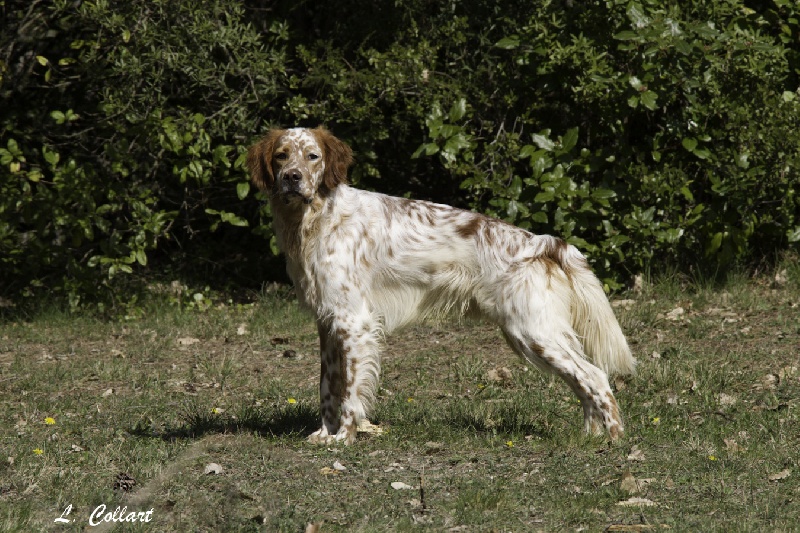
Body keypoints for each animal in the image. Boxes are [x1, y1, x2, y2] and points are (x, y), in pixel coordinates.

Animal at [247, 127, 636, 442]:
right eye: (282, 155)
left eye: (312, 156)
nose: (292, 178)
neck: (316, 220)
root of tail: (542, 241)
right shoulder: (327, 322)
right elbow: (328, 387)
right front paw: (323, 434)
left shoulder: (353, 321)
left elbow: (349, 392)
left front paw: (344, 436)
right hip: (531, 334)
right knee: (583, 381)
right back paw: (590, 437)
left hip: (533, 331)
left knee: (595, 377)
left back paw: (615, 441)